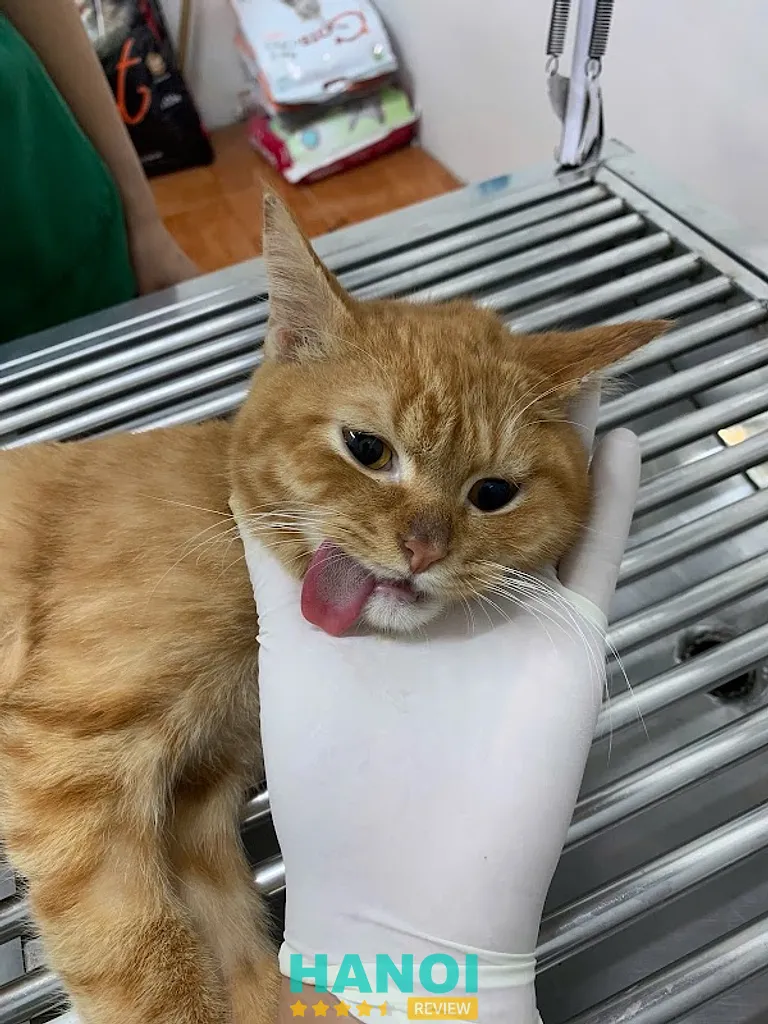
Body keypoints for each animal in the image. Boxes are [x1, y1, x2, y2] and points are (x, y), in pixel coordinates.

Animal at [0, 193, 667, 1024]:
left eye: (492, 493)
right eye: (367, 449)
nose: (423, 548)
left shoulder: (196, 803)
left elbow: (232, 941)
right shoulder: (67, 764)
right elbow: (144, 966)